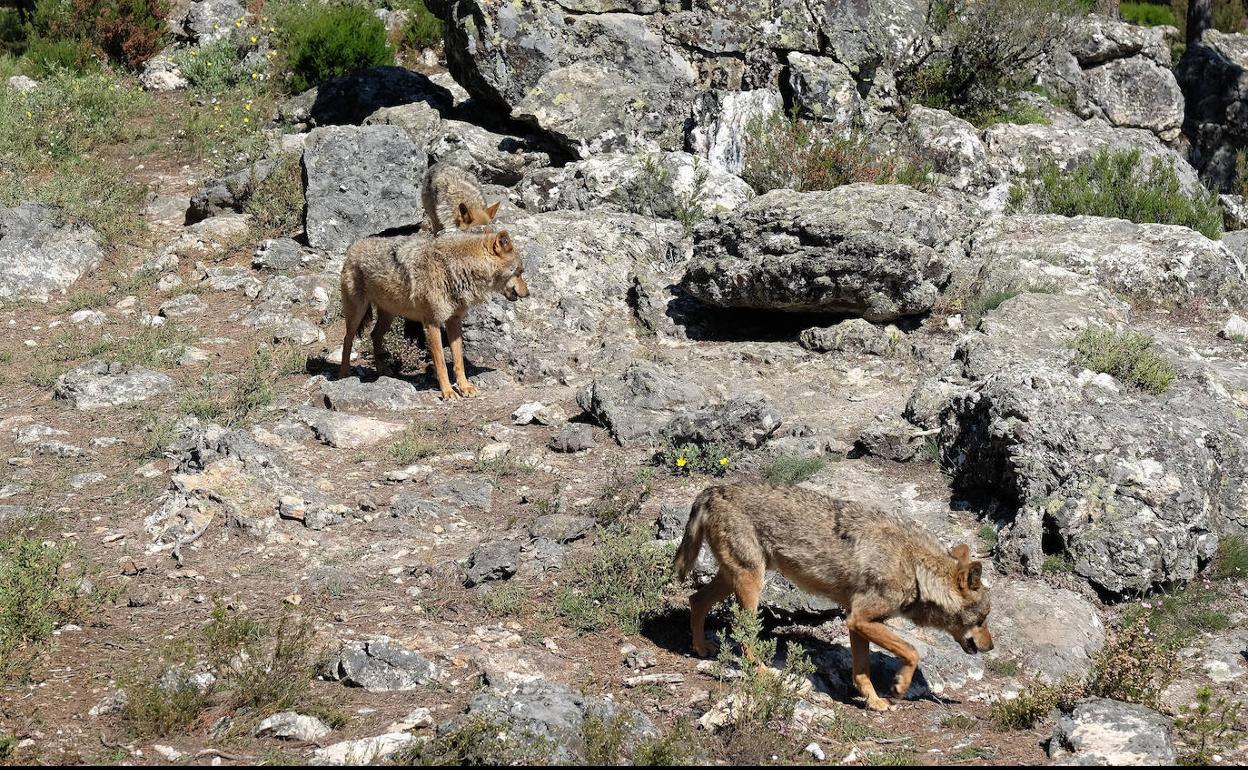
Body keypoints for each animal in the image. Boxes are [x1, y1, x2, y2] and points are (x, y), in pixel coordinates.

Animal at [336, 228, 526, 399]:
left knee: (374, 336)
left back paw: (382, 371)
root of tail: (354, 246)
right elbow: (441, 363)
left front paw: (465, 387)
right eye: (520, 271)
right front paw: (448, 392)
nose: (527, 293)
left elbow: (459, 362)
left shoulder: (454, 321)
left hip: (388, 315)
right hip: (357, 313)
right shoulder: (432, 323)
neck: (456, 268)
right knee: (347, 339)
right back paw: (344, 374)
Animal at [673, 484, 993, 713]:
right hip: (750, 583)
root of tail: (713, 489)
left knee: (695, 599)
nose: (990, 647)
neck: (914, 566)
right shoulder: (861, 618)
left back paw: (700, 647)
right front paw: (899, 687)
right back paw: (764, 672)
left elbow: (861, 672)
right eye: (983, 618)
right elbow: (912, 651)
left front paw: (874, 702)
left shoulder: (857, 623)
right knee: (742, 633)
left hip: (735, 579)